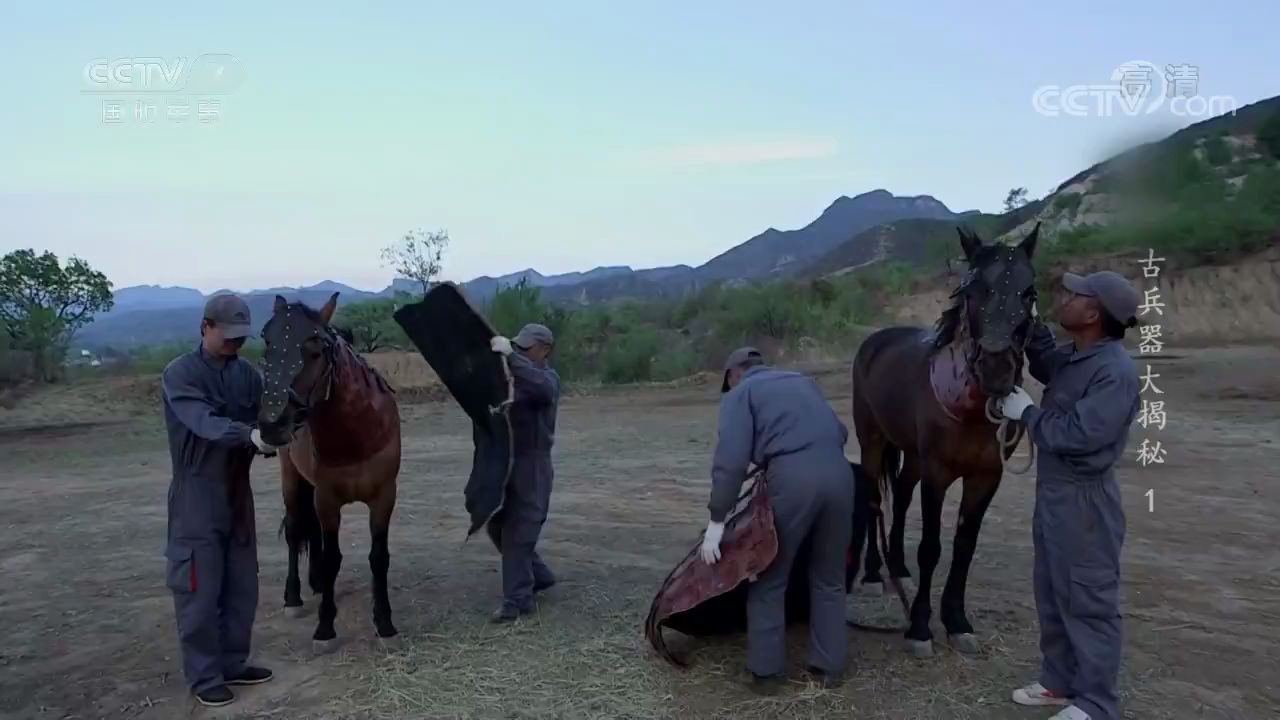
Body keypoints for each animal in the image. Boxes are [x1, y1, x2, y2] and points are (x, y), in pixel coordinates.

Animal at [257, 288, 401, 648]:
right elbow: (333, 557)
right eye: (267, 342)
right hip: (292, 480)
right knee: (295, 531)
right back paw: (294, 598)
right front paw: (325, 627)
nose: (271, 424)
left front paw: (385, 622)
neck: (356, 433)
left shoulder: (384, 497)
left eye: (315, 349)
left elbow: (379, 557)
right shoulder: (327, 500)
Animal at [849, 222, 1039, 655]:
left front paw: (957, 621)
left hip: (912, 455)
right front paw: (920, 627)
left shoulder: (986, 476)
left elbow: (963, 547)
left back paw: (898, 567)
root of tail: (875, 341)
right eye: (972, 291)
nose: (997, 369)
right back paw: (873, 575)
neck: (971, 411)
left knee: (901, 495)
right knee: (873, 500)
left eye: (1030, 293)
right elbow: (931, 547)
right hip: (872, 442)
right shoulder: (937, 473)